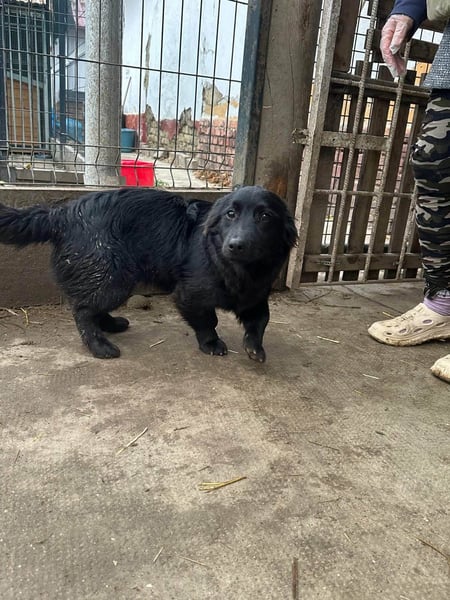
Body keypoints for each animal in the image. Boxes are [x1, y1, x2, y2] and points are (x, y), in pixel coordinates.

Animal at [0, 186, 297, 360]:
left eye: (265, 216)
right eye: (230, 214)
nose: (236, 245)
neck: (239, 269)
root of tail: (63, 213)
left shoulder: (255, 295)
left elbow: (261, 320)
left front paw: (255, 346)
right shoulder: (189, 294)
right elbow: (207, 319)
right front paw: (211, 343)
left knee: (93, 308)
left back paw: (111, 325)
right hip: (114, 279)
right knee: (83, 310)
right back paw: (99, 346)